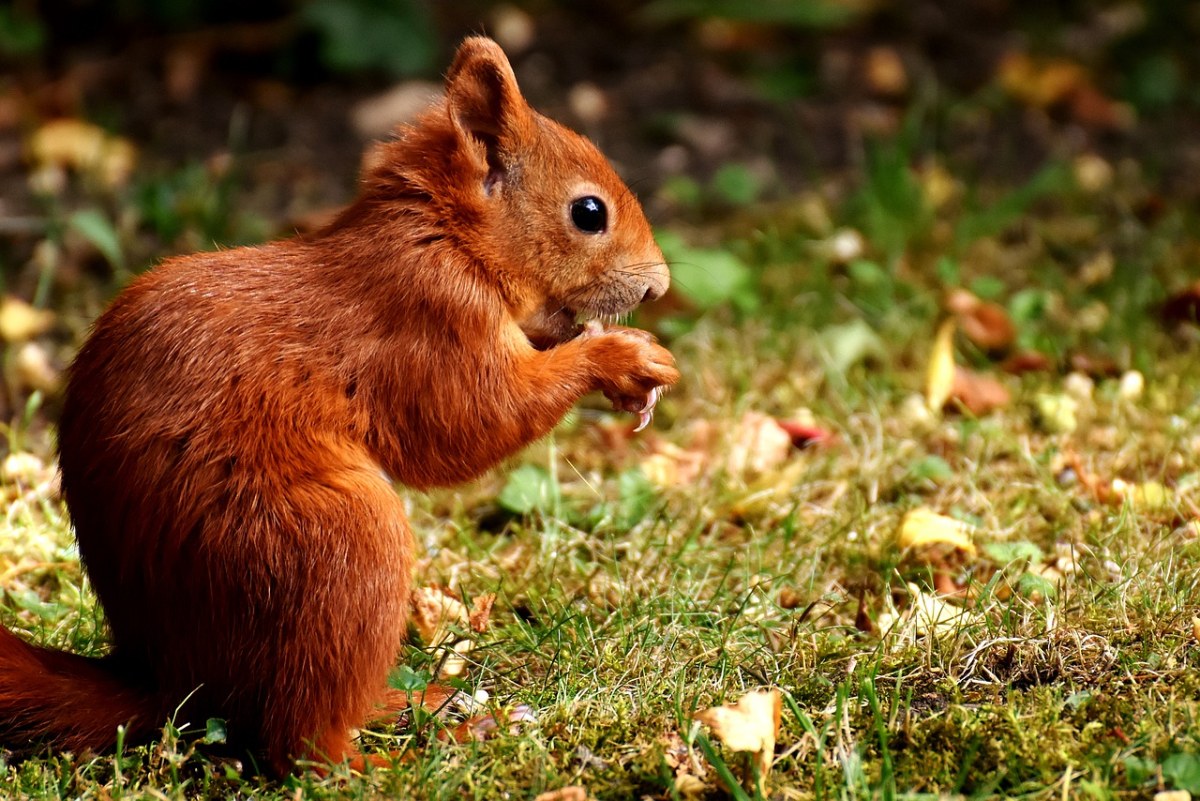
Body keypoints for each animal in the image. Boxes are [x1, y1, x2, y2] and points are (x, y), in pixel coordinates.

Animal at [0, 35, 676, 777]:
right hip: (333, 548)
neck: (445, 237)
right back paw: (412, 754)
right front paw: (616, 358)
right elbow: (469, 423)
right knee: (300, 748)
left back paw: (421, 704)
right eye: (589, 213)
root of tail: (172, 680)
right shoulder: (428, 322)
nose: (660, 285)